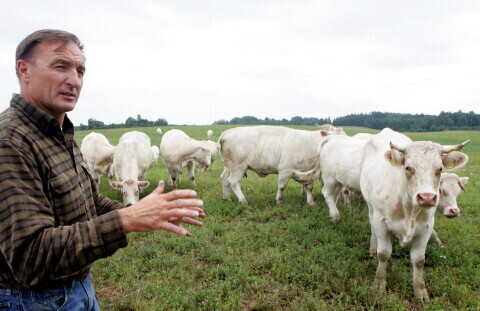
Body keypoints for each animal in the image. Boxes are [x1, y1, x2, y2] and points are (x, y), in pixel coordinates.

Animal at [360, 130, 468, 302]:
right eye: (408, 167)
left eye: (440, 168)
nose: (427, 197)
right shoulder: (380, 221)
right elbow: (383, 254)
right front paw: (378, 285)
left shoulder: (426, 227)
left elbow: (418, 260)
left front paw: (420, 291)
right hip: (371, 208)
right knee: (372, 228)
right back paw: (372, 247)